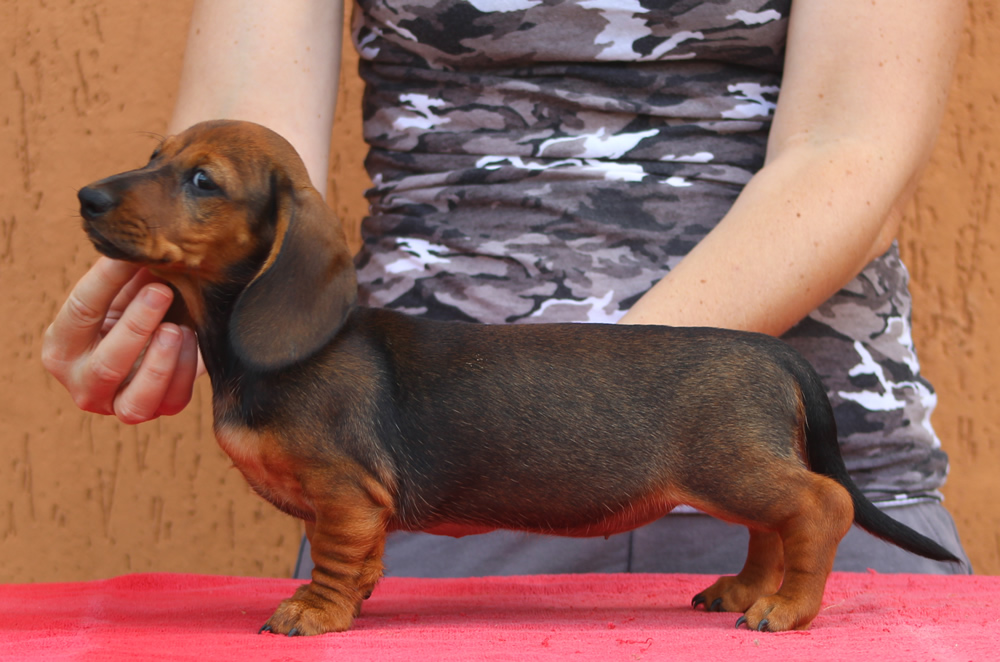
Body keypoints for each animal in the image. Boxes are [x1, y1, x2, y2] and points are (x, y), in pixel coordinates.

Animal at [80, 120, 960, 640]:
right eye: (154, 159)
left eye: (202, 180)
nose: (87, 194)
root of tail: (772, 352)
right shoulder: (362, 506)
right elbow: (363, 561)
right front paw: (355, 597)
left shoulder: (343, 492)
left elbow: (334, 558)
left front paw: (315, 612)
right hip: (738, 473)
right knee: (771, 528)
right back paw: (744, 591)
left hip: (732, 466)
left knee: (820, 506)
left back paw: (786, 608)